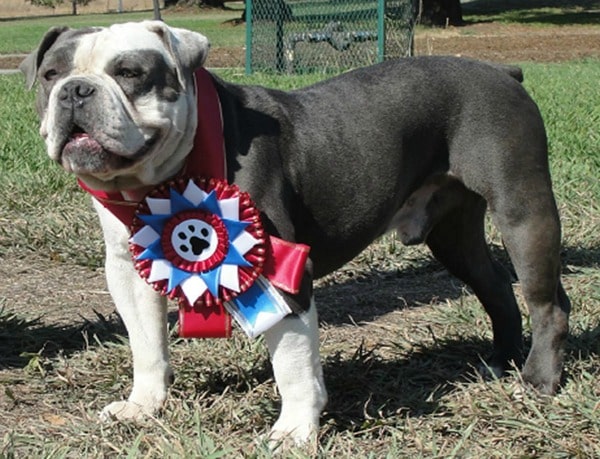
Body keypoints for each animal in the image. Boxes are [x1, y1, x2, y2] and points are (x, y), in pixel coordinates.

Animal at [21, 20, 568, 446]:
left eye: (130, 73)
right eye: (50, 75)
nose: (75, 90)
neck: (167, 172)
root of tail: (502, 71)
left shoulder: (279, 268)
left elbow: (293, 365)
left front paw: (294, 432)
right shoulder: (129, 273)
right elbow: (147, 344)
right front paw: (144, 406)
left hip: (522, 209)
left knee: (547, 301)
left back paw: (538, 381)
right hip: (453, 235)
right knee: (496, 287)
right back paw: (500, 361)